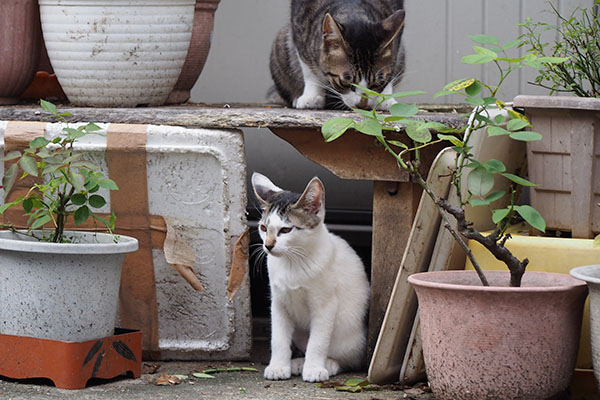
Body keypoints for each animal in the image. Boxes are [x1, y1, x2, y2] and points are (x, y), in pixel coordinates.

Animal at [250, 173, 370, 384]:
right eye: (263, 228)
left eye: (285, 230)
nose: (268, 245)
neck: (293, 262)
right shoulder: (278, 302)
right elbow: (278, 338)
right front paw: (278, 367)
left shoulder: (325, 305)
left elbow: (318, 341)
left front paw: (314, 369)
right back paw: (298, 362)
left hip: (349, 335)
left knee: (349, 358)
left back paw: (329, 364)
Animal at [270, 0, 406, 109]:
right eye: (346, 82)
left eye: (377, 84)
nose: (362, 105)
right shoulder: (299, 31)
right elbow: (309, 69)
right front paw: (311, 97)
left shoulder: (397, 43)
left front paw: (385, 99)